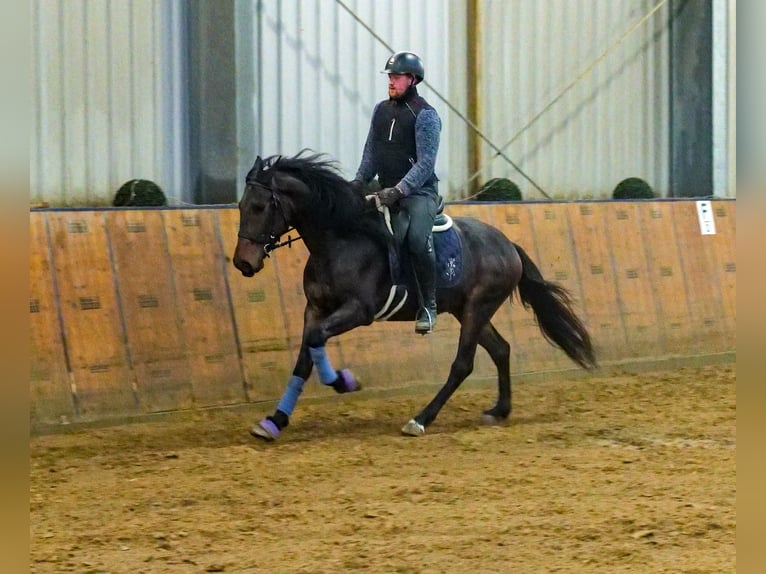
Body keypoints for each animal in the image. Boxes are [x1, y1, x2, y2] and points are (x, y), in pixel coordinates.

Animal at [234, 153, 600, 440]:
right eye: (241, 206)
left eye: (260, 206)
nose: (243, 263)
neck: (341, 239)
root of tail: (508, 245)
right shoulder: (315, 308)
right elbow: (305, 355)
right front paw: (275, 420)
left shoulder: (358, 311)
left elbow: (316, 341)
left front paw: (343, 382)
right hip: (467, 310)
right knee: (500, 349)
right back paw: (499, 410)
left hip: (478, 308)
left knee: (463, 364)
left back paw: (421, 419)